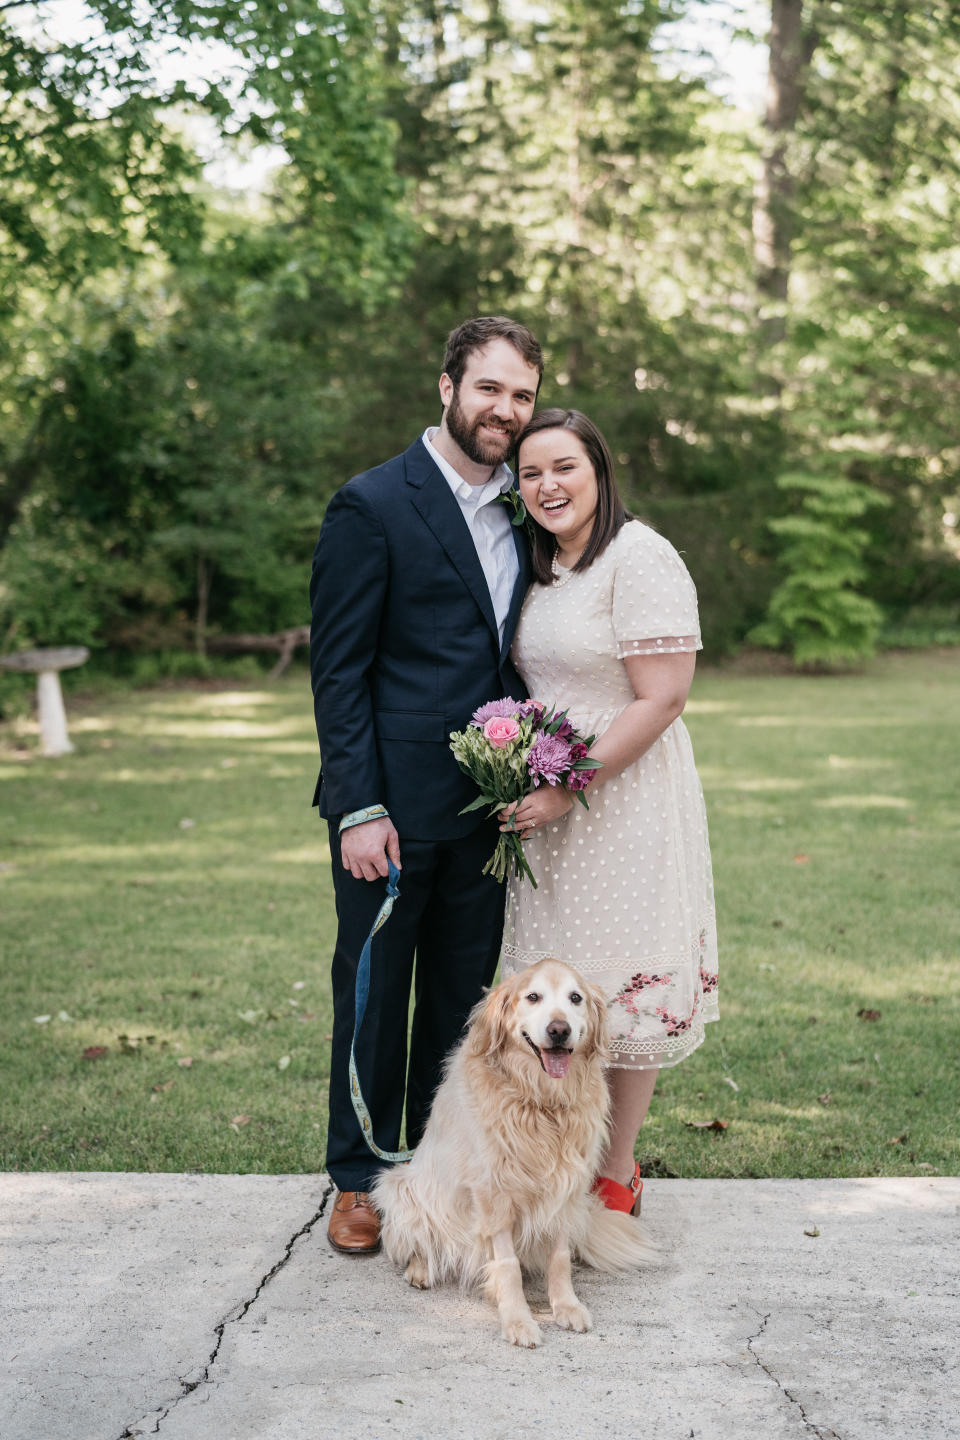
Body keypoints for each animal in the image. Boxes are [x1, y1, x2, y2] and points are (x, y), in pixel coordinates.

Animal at [371, 961, 656, 1342]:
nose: (559, 1030)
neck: (542, 1104)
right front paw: (518, 1319)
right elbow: (507, 1266)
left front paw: (565, 1305)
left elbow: (559, 1256)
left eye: (575, 998)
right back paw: (421, 1269)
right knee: (420, 1241)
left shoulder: (566, 1188)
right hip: (402, 1187)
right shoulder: (494, 1194)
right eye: (533, 997)